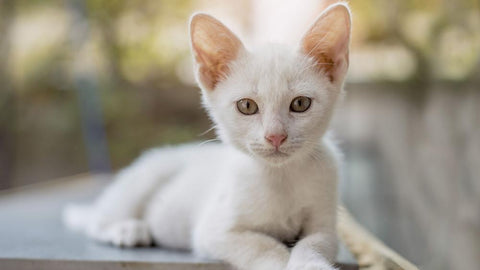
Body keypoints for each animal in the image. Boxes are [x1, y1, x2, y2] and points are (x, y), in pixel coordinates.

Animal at [63, 2, 350, 270]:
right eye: (247, 106)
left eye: (300, 103)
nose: (275, 136)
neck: (280, 176)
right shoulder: (214, 232)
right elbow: (263, 246)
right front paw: (279, 260)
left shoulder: (325, 225)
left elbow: (313, 242)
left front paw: (311, 263)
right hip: (143, 178)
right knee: (97, 221)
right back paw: (128, 229)